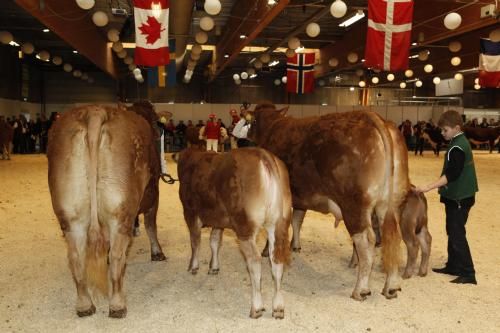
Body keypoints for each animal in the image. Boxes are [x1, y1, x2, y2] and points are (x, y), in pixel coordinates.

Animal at [47, 102, 165, 320]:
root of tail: (95, 110)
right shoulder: (154, 192)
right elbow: (150, 224)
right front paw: (157, 252)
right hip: (120, 212)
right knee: (118, 257)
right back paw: (117, 305)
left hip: (71, 215)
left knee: (76, 257)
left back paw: (84, 306)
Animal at [247, 102, 410, 300]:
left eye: (252, 121)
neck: (272, 127)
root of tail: (373, 118)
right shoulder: (300, 198)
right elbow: (297, 220)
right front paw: (295, 246)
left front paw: (266, 251)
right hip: (392, 204)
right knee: (393, 237)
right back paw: (391, 286)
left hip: (354, 205)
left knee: (366, 240)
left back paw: (361, 289)